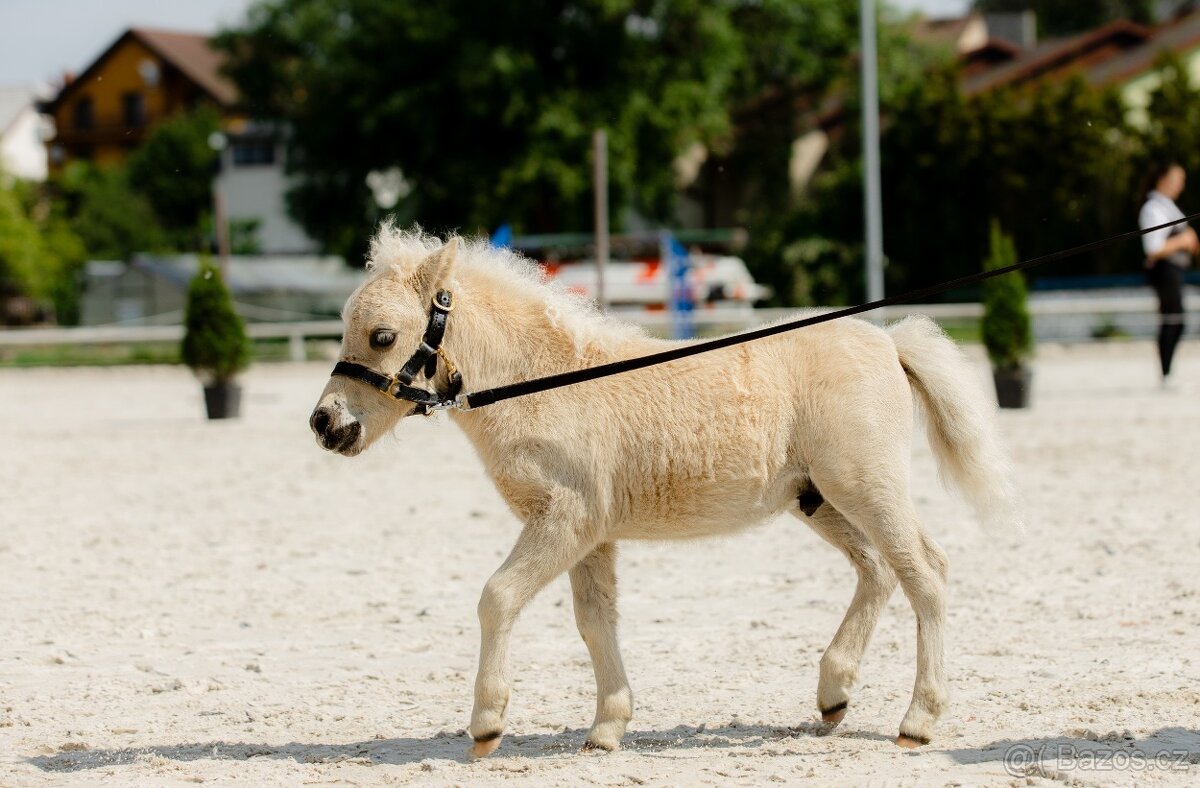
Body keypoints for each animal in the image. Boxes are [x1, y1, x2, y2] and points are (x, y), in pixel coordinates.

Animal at [309, 226, 1015, 758]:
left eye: (382, 336)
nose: (325, 423)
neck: (550, 382)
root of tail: (889, 342)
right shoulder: (590, 534)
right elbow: (595, 622)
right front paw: (607, 728)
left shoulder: (564, 520)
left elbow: (498, 597)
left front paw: (486, 726)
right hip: (821, 499)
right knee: (878, 570)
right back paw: (833, 693)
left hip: (867, 486)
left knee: (924, 572)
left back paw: (917, 720)